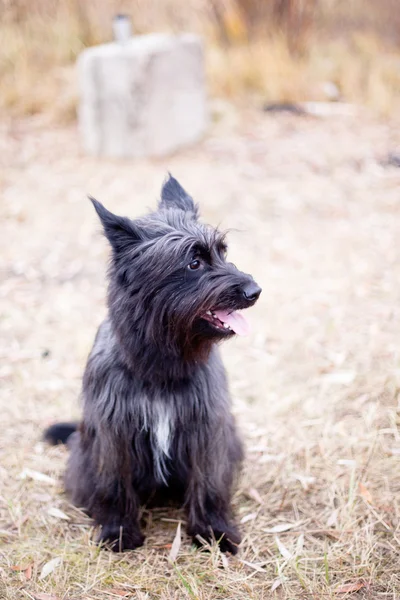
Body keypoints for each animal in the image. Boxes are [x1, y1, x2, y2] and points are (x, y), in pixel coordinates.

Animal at [45, 176, 260, 556]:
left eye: (223, 251)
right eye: (193, 262)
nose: (255, 290)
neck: (160, 366)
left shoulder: (206, 429)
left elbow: (208, 483)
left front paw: (214, 531)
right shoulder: (114, 433)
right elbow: (115, 485)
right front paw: (118, 531)